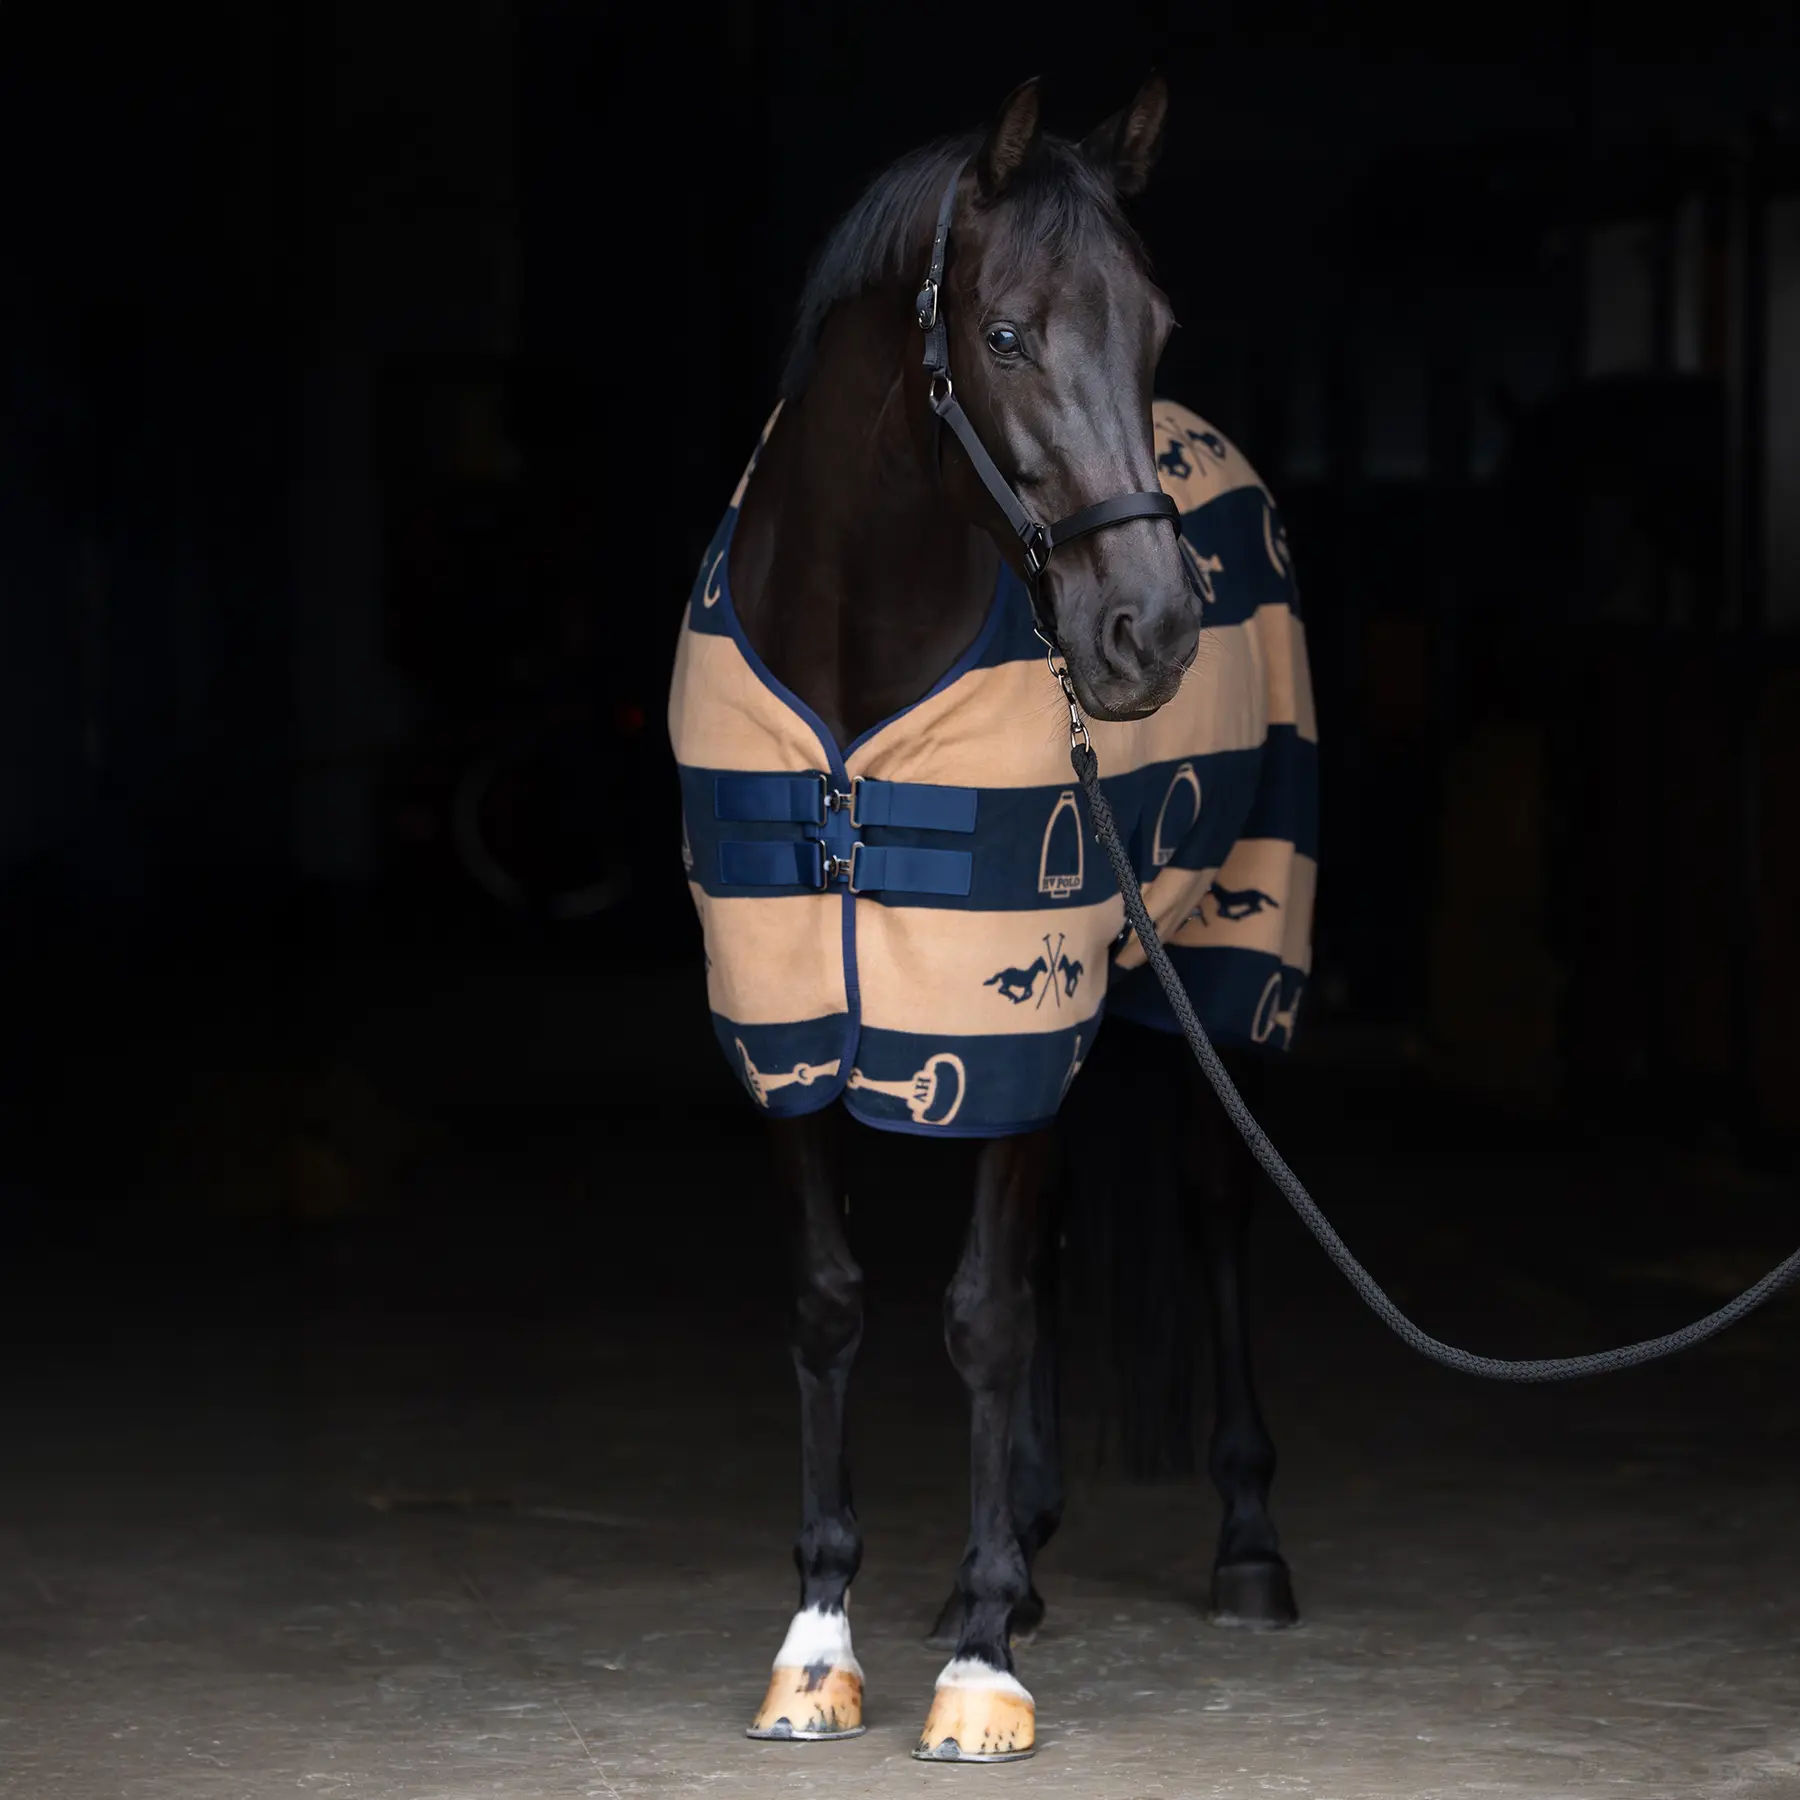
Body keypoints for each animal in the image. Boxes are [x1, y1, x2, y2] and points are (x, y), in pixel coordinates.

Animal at [667, 74, 1317, 1761]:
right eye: (1008, 333)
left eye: (1155, 323)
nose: (1147, 633)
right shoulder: (783, 1013)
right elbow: (834, 1303)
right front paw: (821, 1639)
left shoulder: (1009, 1010)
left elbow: (982, 1315)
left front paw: (978, 1667)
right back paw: (1023, 1543)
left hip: (1231, 964)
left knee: (1218, 1209)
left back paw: (1245, 1546)